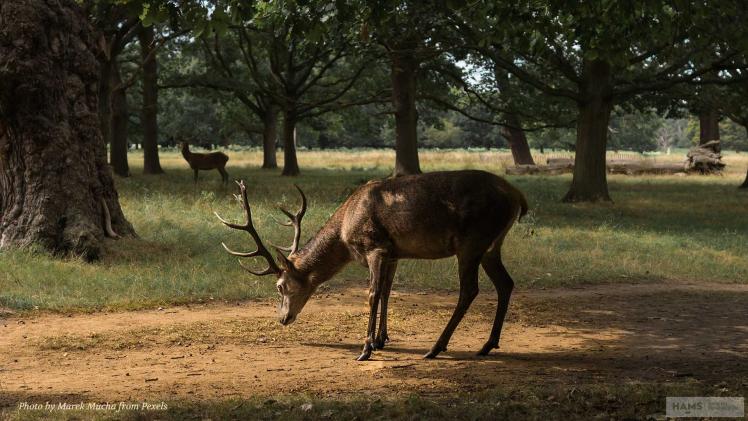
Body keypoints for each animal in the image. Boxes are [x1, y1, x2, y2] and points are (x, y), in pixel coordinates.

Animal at [216, 169, 528, 360]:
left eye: (280, 286)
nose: (282, 319)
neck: (345, 233)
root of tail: (517, 196)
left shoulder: (374, 246)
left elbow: (373, 294)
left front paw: (365, 348)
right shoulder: (393, 253)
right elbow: (388, 292)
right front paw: (381, 339)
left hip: (472, 241)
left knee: (470, 289)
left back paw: (436, 347)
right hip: (491, 245)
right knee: (506, 283)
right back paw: (487, 344)